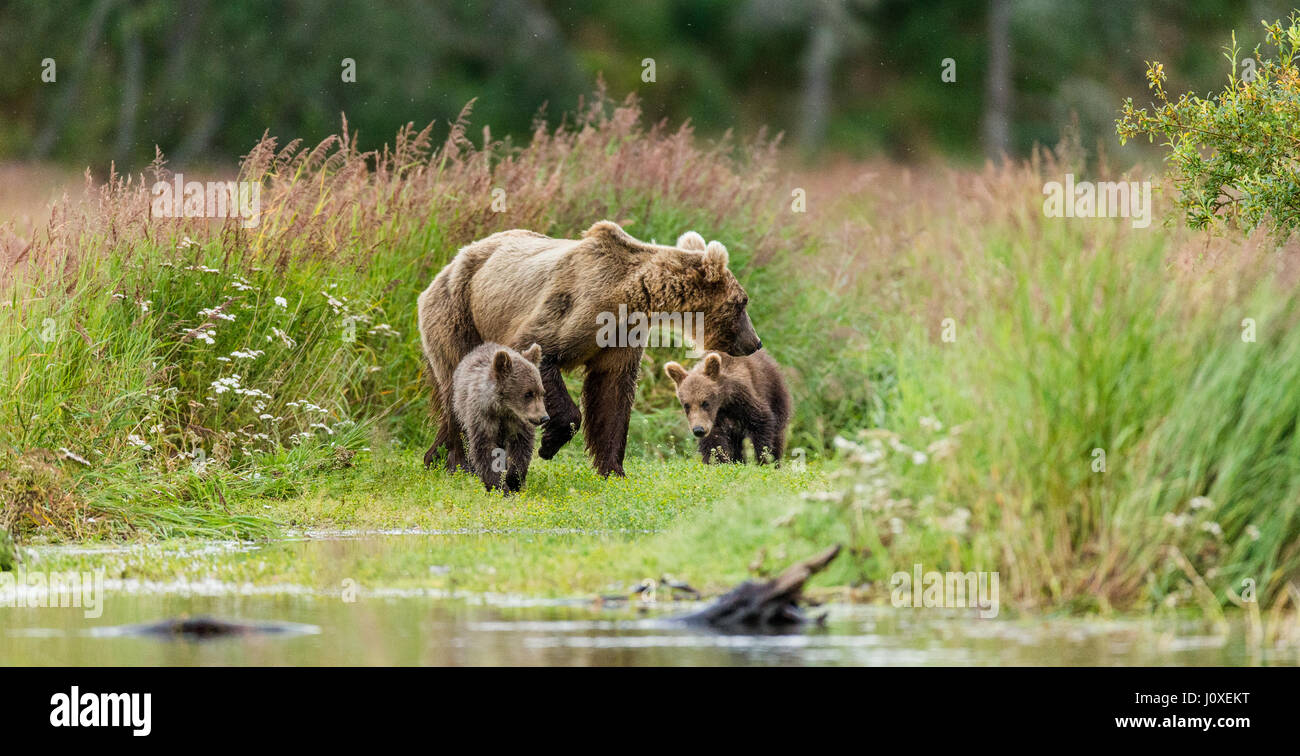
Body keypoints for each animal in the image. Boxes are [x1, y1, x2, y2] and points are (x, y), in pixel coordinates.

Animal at [451, 342, 549, 492]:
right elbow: (485, 450)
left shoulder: (517, 422)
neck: (502, 408)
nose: (544, 417)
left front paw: (513, 480)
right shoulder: (482, 417)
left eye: (541, 392)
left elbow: (521, 449)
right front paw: (498, 486)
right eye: (528, 394)